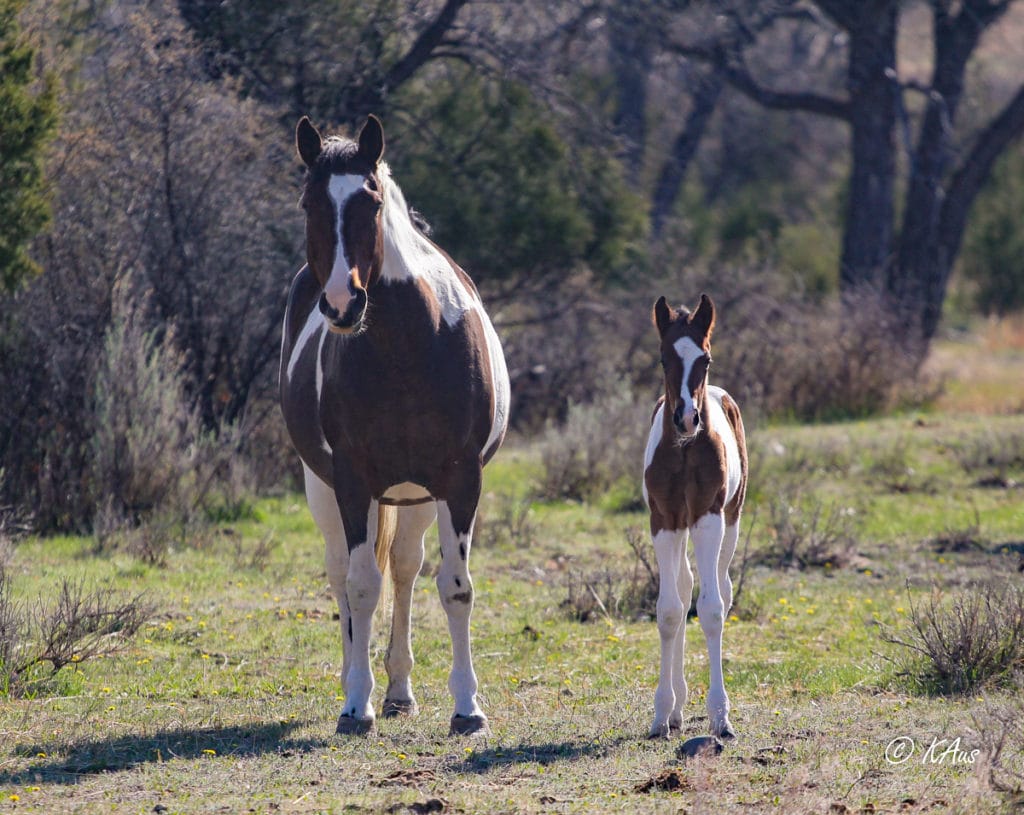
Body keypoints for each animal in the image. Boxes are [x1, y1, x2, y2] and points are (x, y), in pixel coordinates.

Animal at [280, 116, 507, 737]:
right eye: (309, 202)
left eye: (371, 200)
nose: (341, 303)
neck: (408, 346)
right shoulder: (352, 480)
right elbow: (360, 586)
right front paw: (356, 706)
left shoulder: (460, 480)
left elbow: (455, 588)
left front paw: (468, 708)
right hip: (325, 488)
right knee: (343, 573)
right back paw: (356, 683)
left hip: (417, 496)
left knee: (405, 570)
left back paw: (401, 691)